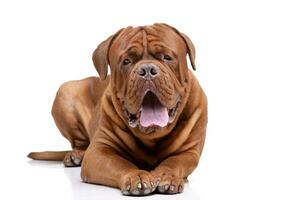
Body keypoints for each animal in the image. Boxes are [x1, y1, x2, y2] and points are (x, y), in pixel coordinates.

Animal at [28, 23, 207, 195]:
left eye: (167, 57)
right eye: (126, 61)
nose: (147, 70)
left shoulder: (189, 152)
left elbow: (173, 162)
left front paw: (166, 176)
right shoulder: (99, 151)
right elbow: (121, 164)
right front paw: (137, 176)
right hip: (66, 91)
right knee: (80, 143)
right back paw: (77, 155)